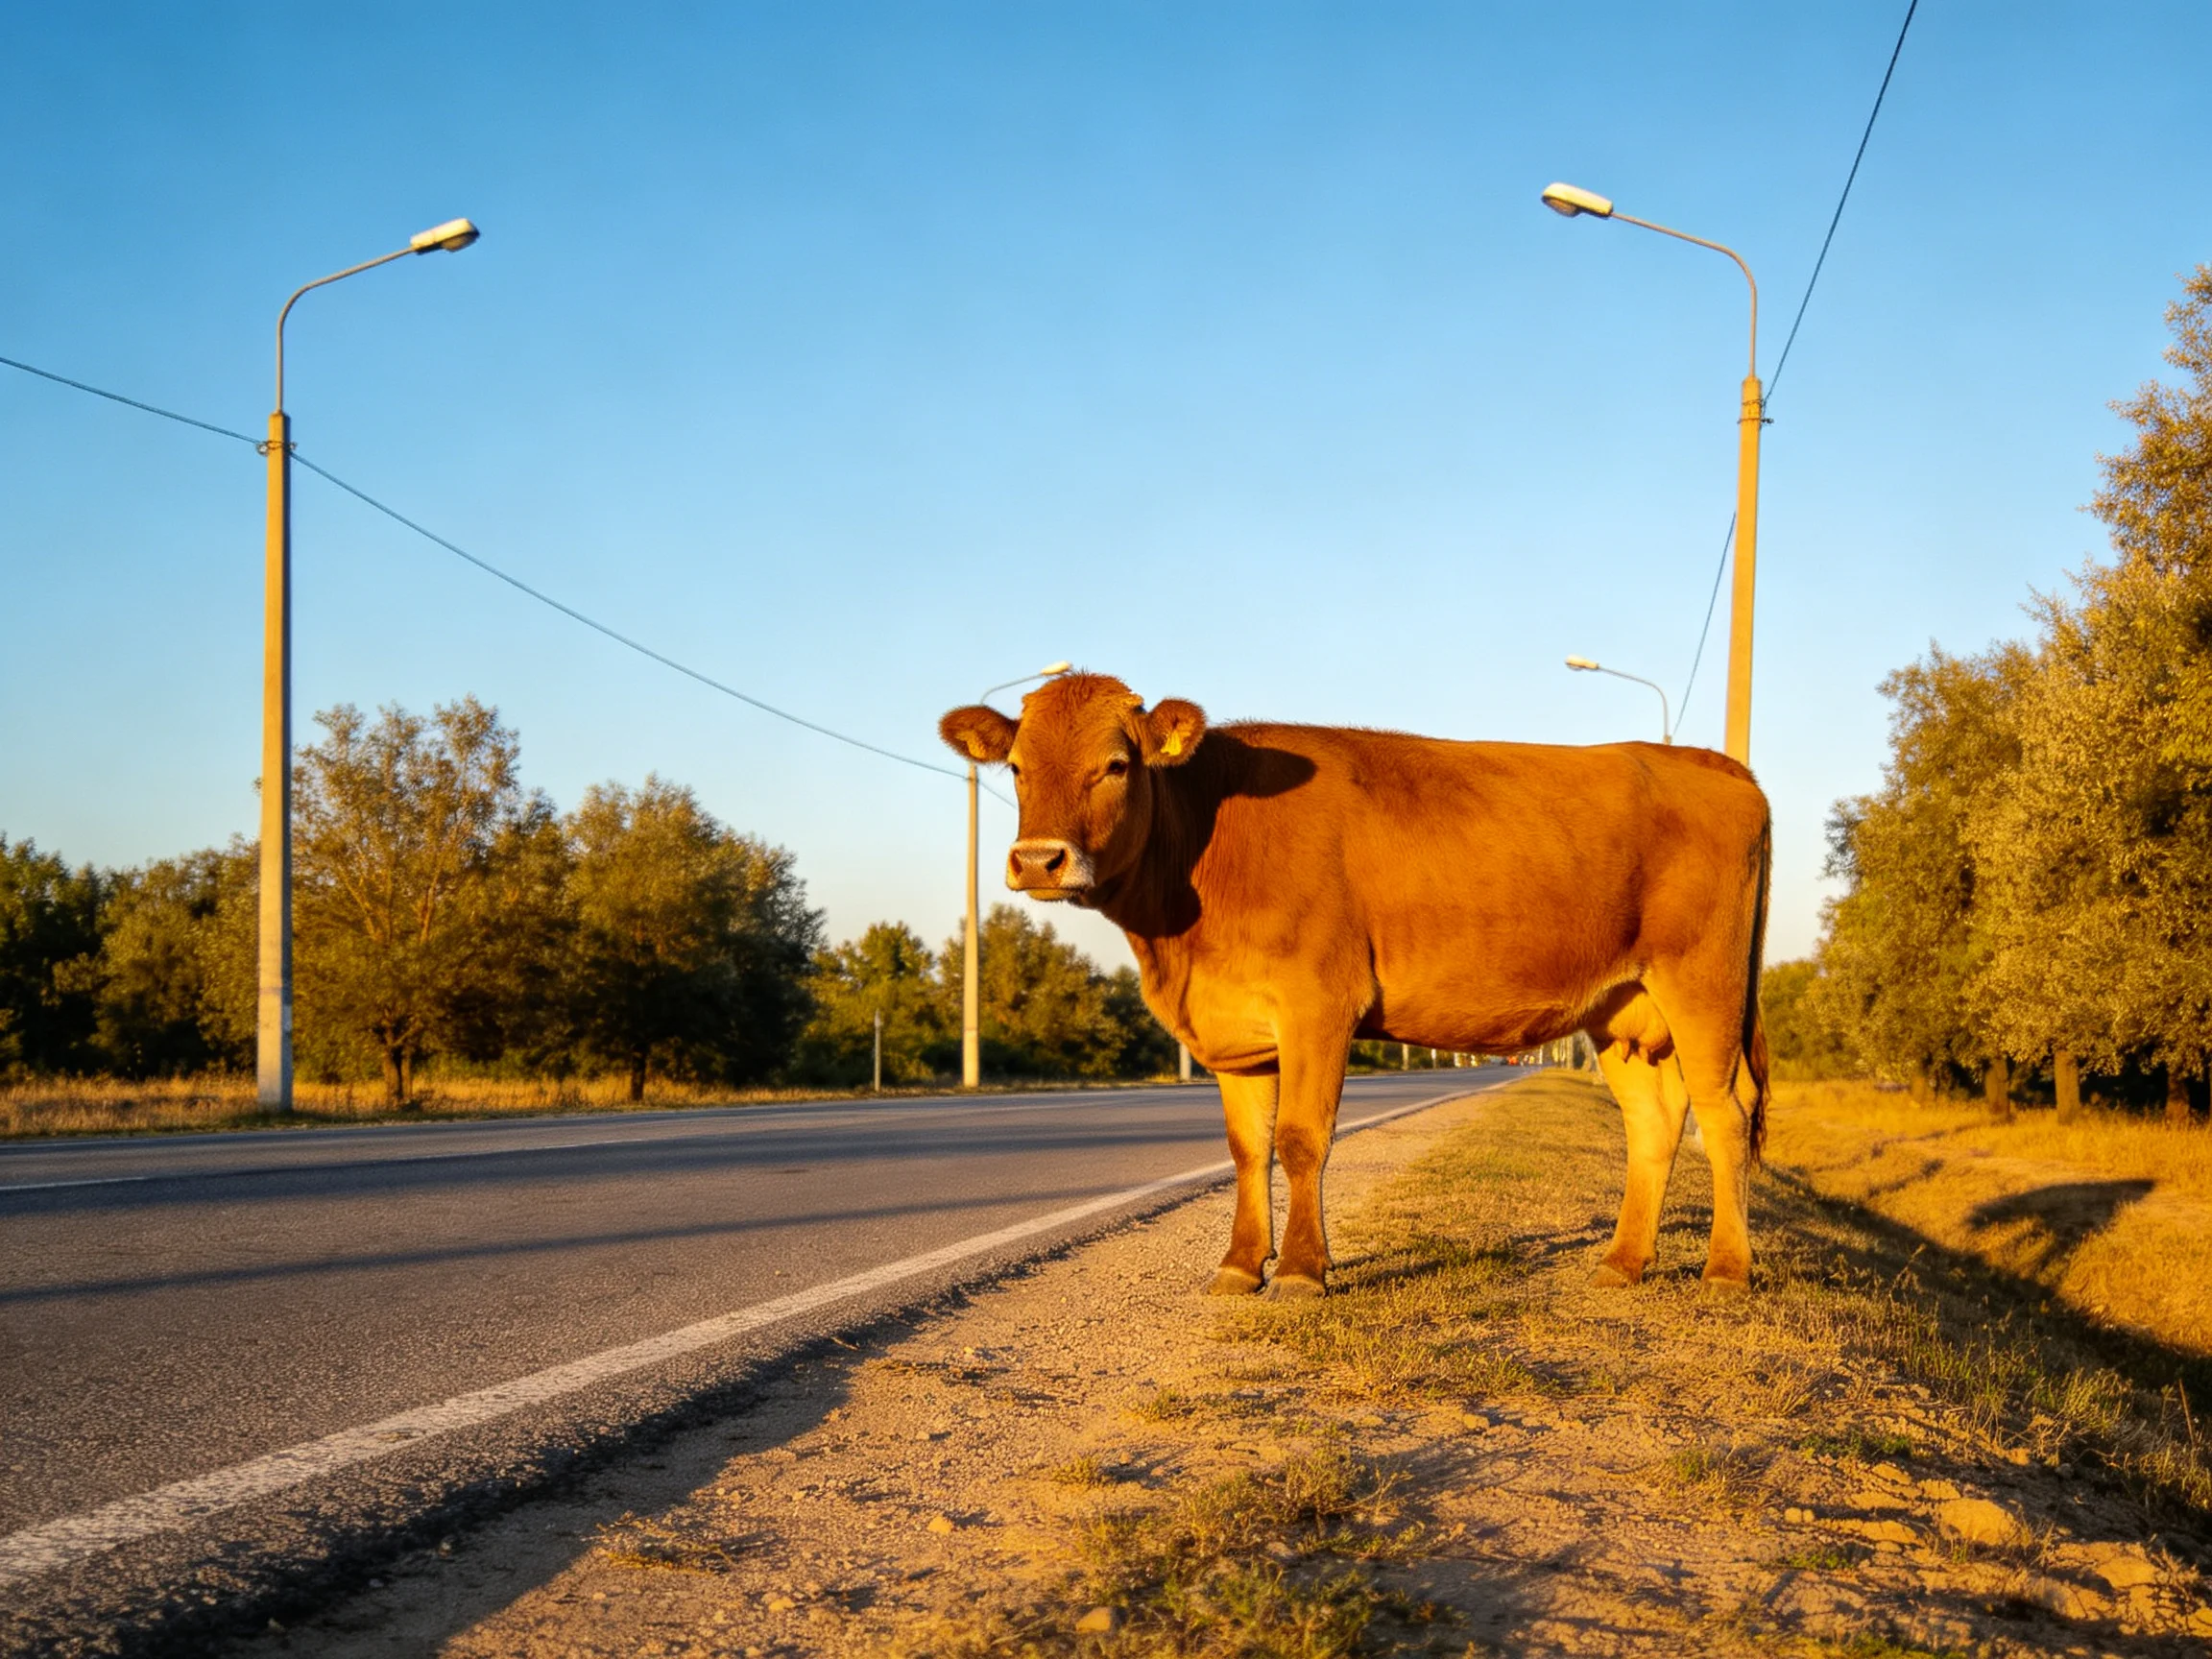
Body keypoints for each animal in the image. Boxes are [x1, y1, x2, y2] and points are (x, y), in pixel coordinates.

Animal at [940, 672, 1771, 1299]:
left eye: (1116, 764)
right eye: (1016, 766)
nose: (1039, 860)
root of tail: (1713, 764)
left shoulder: (1317, 1002)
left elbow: (1301, 1138)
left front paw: (1303, 1271)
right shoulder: (1239, 1029)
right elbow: (1247, 1147)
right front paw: (1240, 1267)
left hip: (1705, 981)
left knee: (1723, 1114)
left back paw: (1727, 1271)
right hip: (1624, 1008)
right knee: (1653, 1123)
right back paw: (1622, 1264)